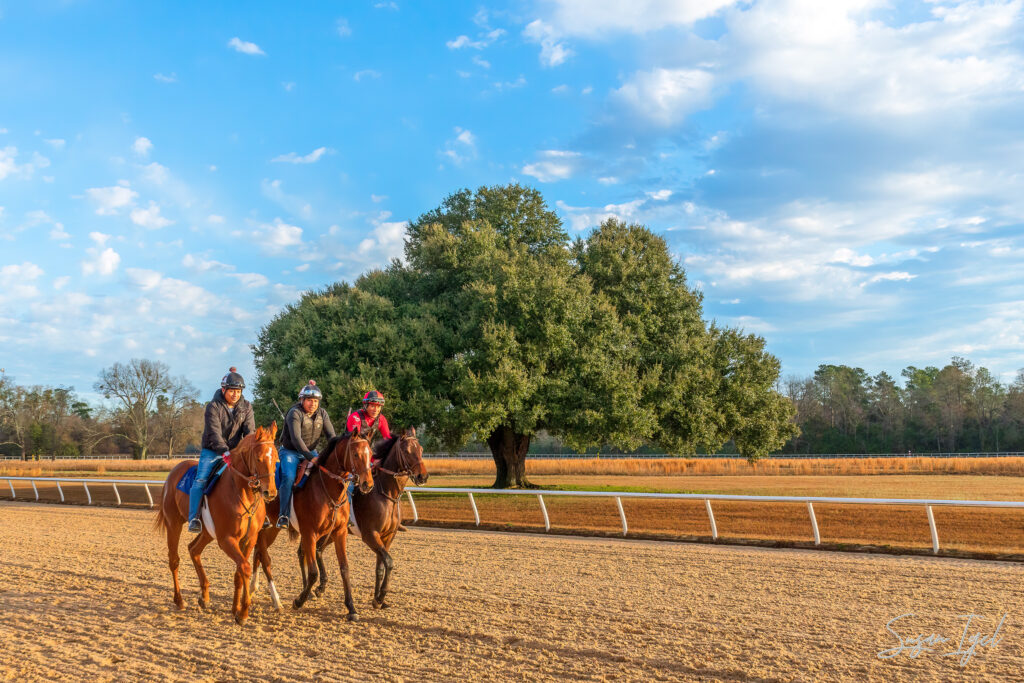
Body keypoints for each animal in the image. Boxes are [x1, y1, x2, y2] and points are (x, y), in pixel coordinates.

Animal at [153, 423, 279, 625]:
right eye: (259, 458)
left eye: (276, 458)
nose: (271, 492)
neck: (241, 492)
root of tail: (175, 470)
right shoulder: (226, 539)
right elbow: (245, 568)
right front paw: (243, 613)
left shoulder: (249, 539)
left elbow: (239, 572)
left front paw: (235, 609)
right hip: (174, 523)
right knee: (174, 560)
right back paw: (179, 600)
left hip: (206, 532)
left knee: (193, 549)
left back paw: (204, 596)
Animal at [250, 431, 374, 618]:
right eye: (355, 454)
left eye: (371, 453)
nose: (368, 484)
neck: (326, 490)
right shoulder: (309, 533)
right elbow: (314, 572)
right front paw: (299, 601)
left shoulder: (339, 533)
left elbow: (344, 568)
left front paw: (351, 608)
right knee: (263, 556)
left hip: (270, 529)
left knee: (258, 552)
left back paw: (253, 587)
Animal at [318, 427, 427, 609]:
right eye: (407, 450)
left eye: (421, 450)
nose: (422, 476)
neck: (386, 494)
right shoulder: (370, 535)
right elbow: (389, 562)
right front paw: (381, 596)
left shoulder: (388, 536)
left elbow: (380, 567)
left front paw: (377, 599)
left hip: (333, 533)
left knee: (318, 549)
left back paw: (320, 586)